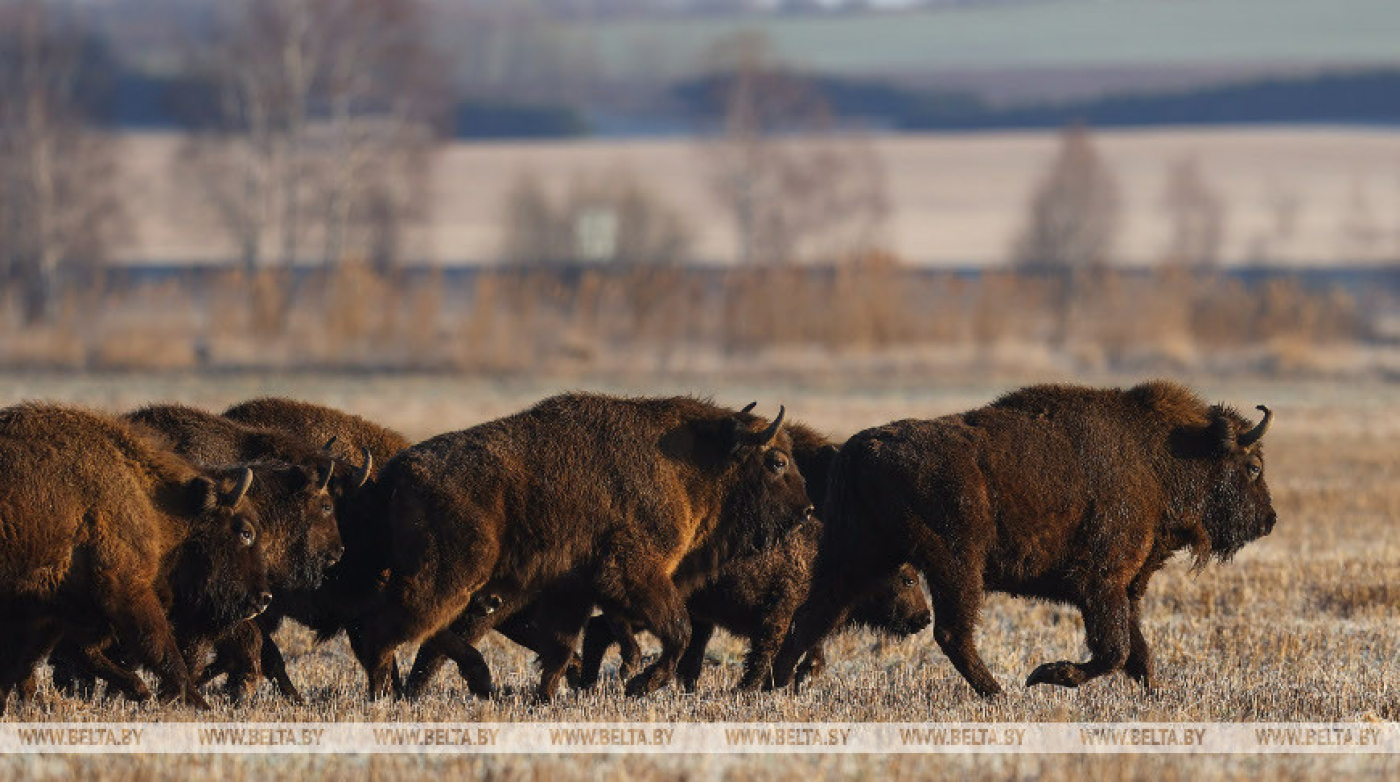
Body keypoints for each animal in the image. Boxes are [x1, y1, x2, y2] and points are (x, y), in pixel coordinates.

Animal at [0, 400, 268, 713]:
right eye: (245, 532)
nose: (263, 599)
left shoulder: (54, 611)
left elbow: (40, 659)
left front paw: (142, 692)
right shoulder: (128, 589)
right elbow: (161, 648)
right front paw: (196, 703)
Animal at [343, 394, 817, 699]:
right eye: (776, 462)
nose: (808, 510)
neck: (691, 466)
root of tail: (395, 471)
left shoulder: (574, 589)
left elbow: (561, 645)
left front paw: (549, 697)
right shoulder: (636, 574)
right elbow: (678, 630)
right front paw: (638, 684)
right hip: (450, 576)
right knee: (393, 626)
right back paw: (384, 694)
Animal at [568, 422, 929, 691]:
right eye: (908, 578)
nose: (924, 618)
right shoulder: (779, 614)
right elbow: (768, 653)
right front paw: (754, 688)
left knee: (601, 629)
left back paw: (587, 685)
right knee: (605, 627)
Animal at [767, 383, 1282, 693]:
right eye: (1253, 466)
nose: (1269, 520)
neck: (1158, 458)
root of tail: (859, 448)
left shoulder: (1123, 588)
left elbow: (1137, 652)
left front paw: (1155, 695)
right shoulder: (1102, 583)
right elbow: (1114, 650)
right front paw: (1047, 676)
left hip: (858, 558)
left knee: (812, 618)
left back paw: (768, 685)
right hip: (956, 564)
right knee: (951, 632)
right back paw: (1000, 694)